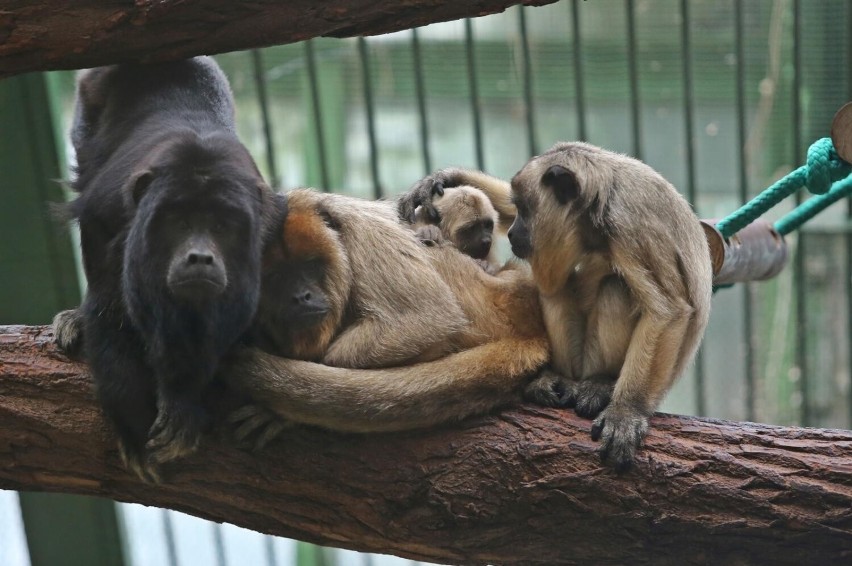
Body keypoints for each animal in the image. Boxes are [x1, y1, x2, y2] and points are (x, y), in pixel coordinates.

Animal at [402, 142, 716, 470]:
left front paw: (627, 411)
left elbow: (668, 311)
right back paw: (558, 379)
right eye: (518, 208)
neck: (599, 203)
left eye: (527, 209)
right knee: (555, 290)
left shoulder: (630, 225)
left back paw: (601, 382)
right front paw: (446, 178)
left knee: (616, 287)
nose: (513, 233)